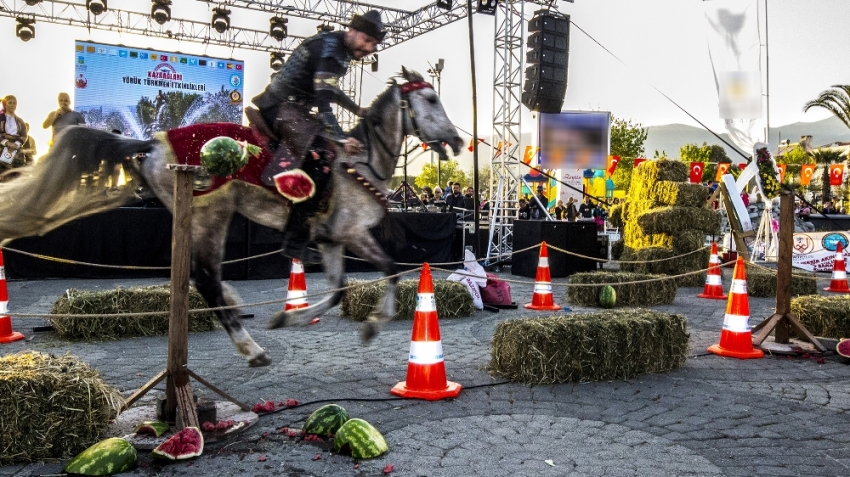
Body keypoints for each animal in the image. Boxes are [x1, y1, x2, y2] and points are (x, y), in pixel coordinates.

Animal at [0, 67, 460, 366]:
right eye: (431, 99)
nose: (456, 140)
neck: (360, 164)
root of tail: (153, 143)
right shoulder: (352, 234)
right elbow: (390, 269)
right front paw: (372, 324)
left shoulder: (331, 239)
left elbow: (338, 291)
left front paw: (291, 315)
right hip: (212, 214)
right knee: (205, 278)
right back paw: (251, 348)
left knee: (202, 278)